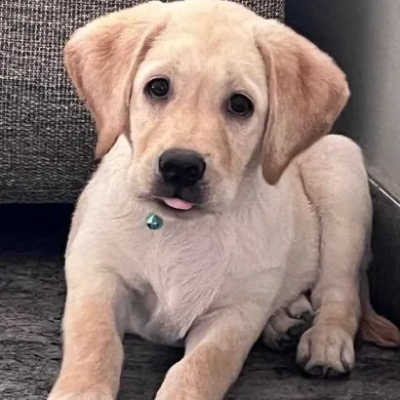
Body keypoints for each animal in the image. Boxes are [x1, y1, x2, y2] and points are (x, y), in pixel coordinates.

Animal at [48, 0, 398, 400]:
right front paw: (79, 389)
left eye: (240, 105)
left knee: (339, 292)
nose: (181, 167)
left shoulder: (235, 314)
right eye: (158, 87)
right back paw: (284, 320)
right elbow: (95, 344)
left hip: (340, 172)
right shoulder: (97, 273)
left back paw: (325, 340)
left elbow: (197, 371)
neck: (180, 227)